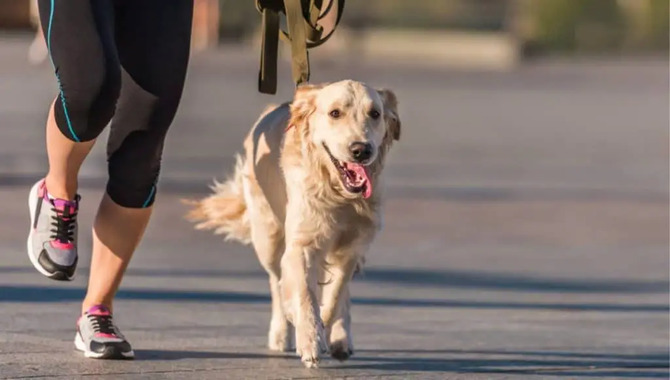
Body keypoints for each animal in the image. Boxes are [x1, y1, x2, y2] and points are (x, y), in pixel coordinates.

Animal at [185, 81, 400, 368]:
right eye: (335, 113)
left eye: (375, 113)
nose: (361, 150)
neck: (339, 194)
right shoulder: (302, 244)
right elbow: (304, 294)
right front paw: (309, 338)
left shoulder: (352, 248)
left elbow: (334, 296)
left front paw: (326, 330)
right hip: (268, 238)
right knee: (276, 282)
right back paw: (281, 331)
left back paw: (341, 338)